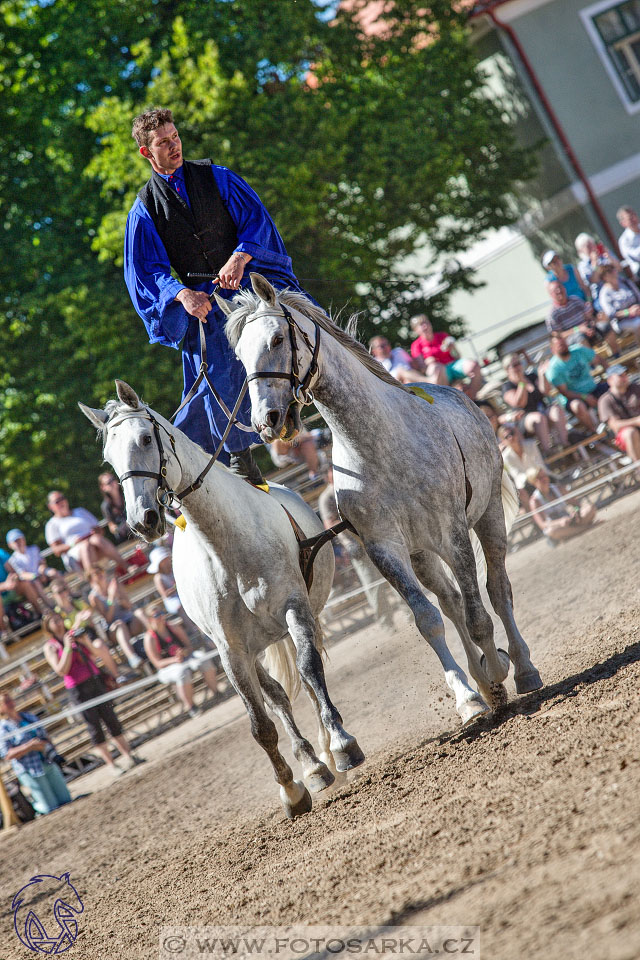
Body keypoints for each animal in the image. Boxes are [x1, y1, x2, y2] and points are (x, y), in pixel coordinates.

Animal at [77, 382, 362, 816]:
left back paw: (327, 752)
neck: (226, 545)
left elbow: (311, 671)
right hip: (252, 648)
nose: (142, 521)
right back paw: (312, 765)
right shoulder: (231, 651)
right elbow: (260, 724)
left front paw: (342, 746)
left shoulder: (296, 610)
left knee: (307, 679)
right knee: (277, 695)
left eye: (145, 439)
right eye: (110, 459)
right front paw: (292, 789)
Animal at [218, 274, 544, 724]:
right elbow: (428, 619)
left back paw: (523, 668)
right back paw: (482, 682)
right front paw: (471, 696)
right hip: (421, 552)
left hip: (488, 514)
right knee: (450, 601)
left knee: (496, 588)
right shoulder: (384, 548)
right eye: (239, 356)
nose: (266, 420)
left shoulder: (454, 533)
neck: (379, 444)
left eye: (278, 338)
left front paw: (497, 668)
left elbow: (479, 615)